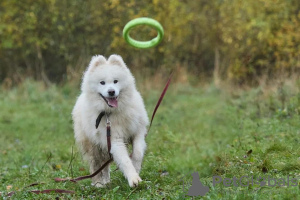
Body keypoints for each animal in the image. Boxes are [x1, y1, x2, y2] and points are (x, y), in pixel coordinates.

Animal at [72, 54, 149, 188]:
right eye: (102, 82)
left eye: (115, 81)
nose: (111, 91)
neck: (112, 112)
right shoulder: (114, 140)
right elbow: (125, 160)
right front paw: (133, 178)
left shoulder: (138, 131)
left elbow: (138, 153)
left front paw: (136, 168)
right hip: (92, 146)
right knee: (96, 165)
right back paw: (98, 184)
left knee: (105, 165)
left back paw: (107, 181)